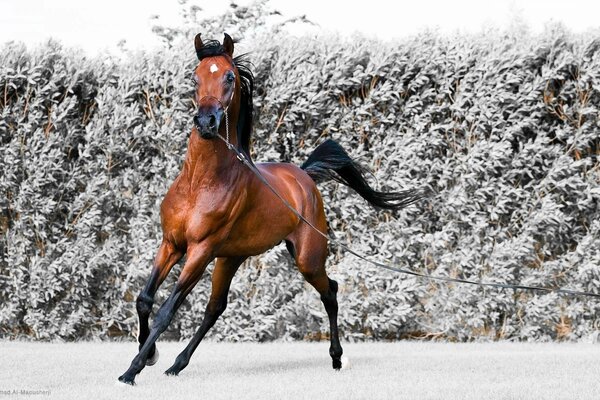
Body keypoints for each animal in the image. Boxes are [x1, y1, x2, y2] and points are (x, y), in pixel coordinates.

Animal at [118, 33, 422, 384]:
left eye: (229, 77)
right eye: (194, 77)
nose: (206, 122)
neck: (200, 183)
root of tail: (304, 176)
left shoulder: (199, 250)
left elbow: (166, 311)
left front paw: (132, 369)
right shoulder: (171, 243)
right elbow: (144, 300)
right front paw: (150, 355)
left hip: (306, 257)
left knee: (329, 292)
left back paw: (337, 358)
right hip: (230, 258)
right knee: (215, 308)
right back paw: (176, 365)